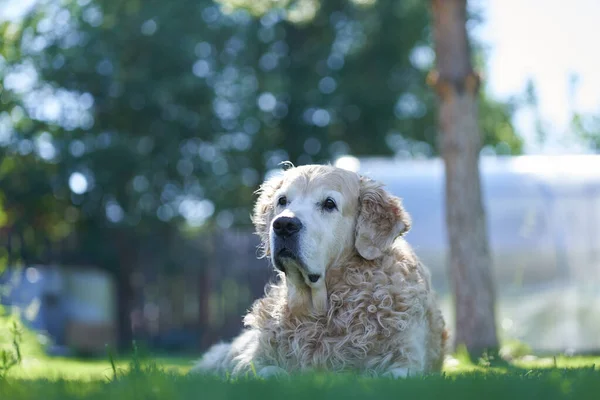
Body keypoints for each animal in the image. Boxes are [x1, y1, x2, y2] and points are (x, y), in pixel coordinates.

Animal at [190, 162, 448, 378]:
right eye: (282, 201)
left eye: (329, 204)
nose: (284, 224)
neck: (322, 309)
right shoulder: (252, 358)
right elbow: (263, 371)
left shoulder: (406, 362)